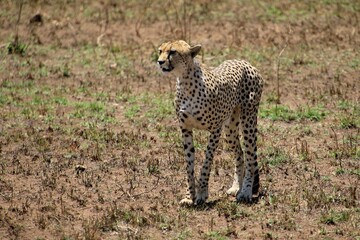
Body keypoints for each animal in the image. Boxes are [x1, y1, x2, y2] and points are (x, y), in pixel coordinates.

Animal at [158, 40, 264, 205]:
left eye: (173, 52)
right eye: (160, 51)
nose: (160, 62)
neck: (185, 82)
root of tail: (244, 61)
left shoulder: (215, 129)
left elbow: (207, 162)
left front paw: (202, 193)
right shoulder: (185, 129)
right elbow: (189, 165)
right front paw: (189, 196)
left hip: (248, 121)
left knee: (251, 157)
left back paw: (245, 192)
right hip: (230, 130)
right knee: (239, 153)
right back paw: (236, 187)